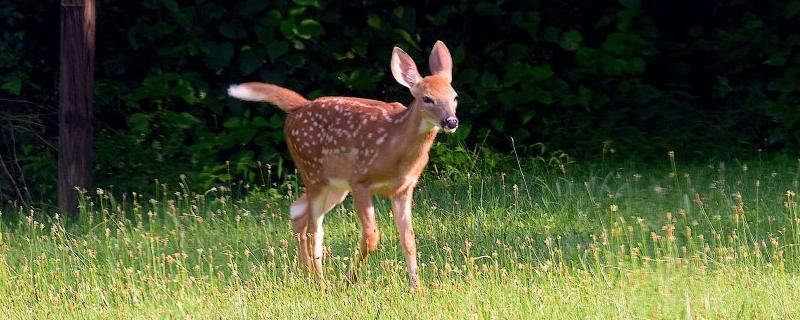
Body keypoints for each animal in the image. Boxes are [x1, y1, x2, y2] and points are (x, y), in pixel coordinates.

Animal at [228, 40, 460, 290]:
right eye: (427, 98)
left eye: (454, 97)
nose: (451, 121)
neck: (394, 146)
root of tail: (299, 106)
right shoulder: (360, 180)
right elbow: (371, 236)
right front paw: (348, 279)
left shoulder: (403, 188)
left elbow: (408, 238)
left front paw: (416, 288)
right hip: (312, 172)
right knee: (314, 230)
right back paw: (322, 284)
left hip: (335, 186)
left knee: (298, 212)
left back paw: (308, 274)